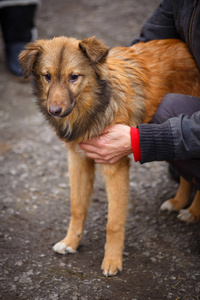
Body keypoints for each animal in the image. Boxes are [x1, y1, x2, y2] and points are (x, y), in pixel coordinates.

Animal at [19, 37, 200, 276]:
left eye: (74, 77)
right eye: (47, 76)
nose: (54, 111)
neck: (94, 105)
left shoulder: (115, 166)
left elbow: (113, 222)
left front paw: (112, 260)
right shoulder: (78, 159)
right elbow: (77, 206)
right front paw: (71, 242)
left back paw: (193, 212)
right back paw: (179, 202)